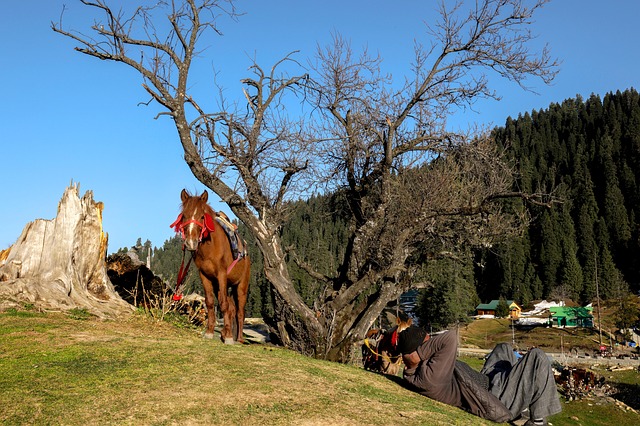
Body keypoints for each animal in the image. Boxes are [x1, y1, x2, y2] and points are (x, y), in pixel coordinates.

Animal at [171, 189, 251, 344]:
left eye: (202, 216)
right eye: (184, 216)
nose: (191, 242)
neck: (210, 247)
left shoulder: (222, 275)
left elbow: (223, 305)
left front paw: (229, 338)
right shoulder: (205, 276)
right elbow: (209, 302)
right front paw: (209, 332)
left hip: (241, 286)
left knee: (239, 312)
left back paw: (238, 338)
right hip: (224, 286)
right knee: (232, 309)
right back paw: (225, 333)